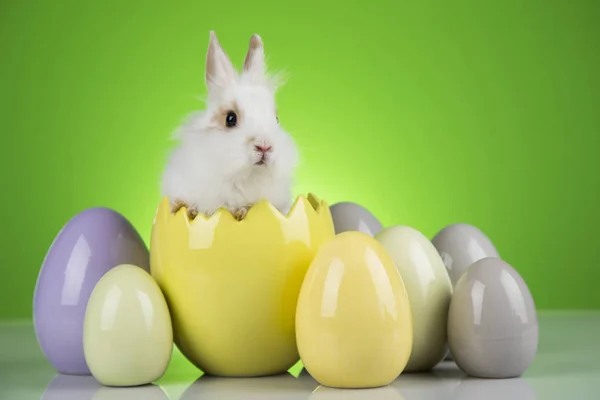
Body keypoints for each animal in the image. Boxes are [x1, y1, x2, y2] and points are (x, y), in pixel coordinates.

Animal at [161, 30, 298, 219]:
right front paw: (186, 208)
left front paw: (241, 210)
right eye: (230, 119)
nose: (264, 146)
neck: (243, 177)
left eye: (276, 119)